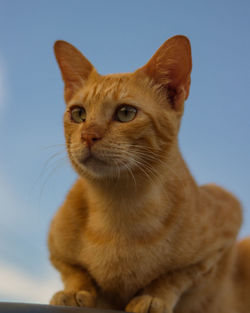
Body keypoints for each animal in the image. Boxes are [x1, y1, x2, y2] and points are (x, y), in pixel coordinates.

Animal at [48, 35, 250, 310]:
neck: (118, 207)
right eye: (78, 114)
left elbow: (175, 276)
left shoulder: (227, 218)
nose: (88, 135)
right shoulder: (55, 246)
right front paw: (74, 292)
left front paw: (154, 297)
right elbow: (76, 271)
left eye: (125, 113)